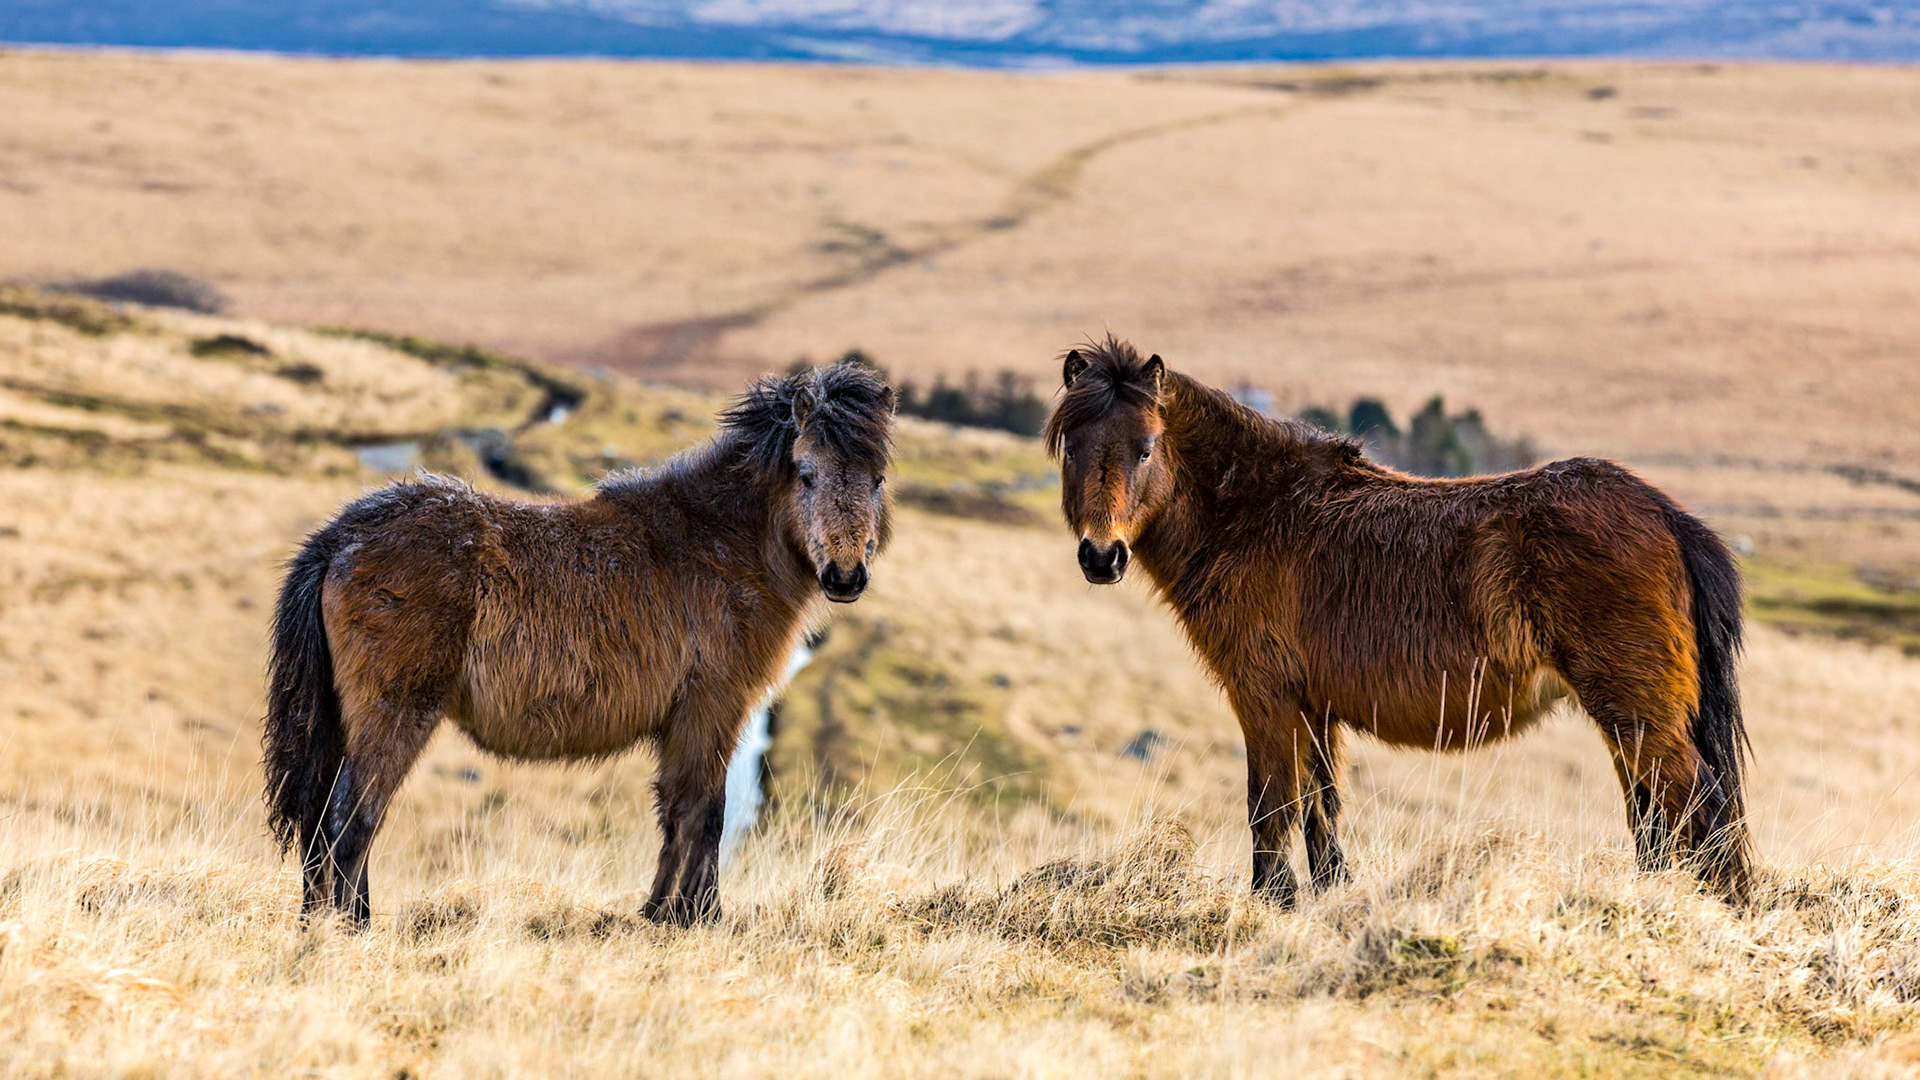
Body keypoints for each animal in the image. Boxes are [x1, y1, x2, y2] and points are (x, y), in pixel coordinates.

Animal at [262, 361, 896, 926]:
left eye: (878, 479)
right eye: (806, 472)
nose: (845, 575)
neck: (720, 543)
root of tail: (340, 539)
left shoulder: (685, 721)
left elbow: (675, 815)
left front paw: (659, 913)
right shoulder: (712, 709)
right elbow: (705, 813)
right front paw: (700, 917)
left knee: (328, 822)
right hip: (395, 713)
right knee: (351, 821)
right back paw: (347, 927)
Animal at [1044, 336, 1750, 905]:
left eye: (1146, 449)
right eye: (1072, 447)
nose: (1101, 556)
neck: (1256, 512)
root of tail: (1662, 512)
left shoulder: (1265, 699)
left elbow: (1270, 807)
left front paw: (1270, 906)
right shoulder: (1314, 708)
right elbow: (1321, 813)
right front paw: (1325, 903)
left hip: (1638, 715)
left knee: (1701, 809)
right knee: (1662, 823)